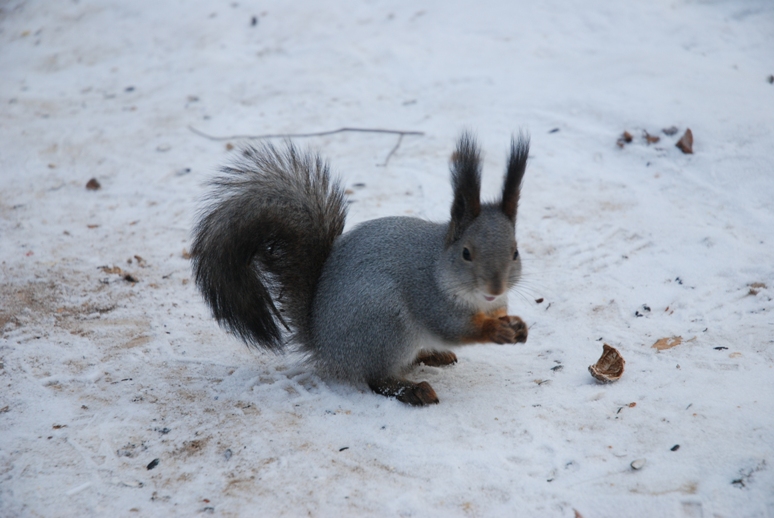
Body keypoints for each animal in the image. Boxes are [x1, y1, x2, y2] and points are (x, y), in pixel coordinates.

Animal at [192, 133, 532, 406]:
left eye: (515, 252)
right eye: (466, 253)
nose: (495, 289)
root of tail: (324, 346)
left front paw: (517, 325)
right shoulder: (429, 298)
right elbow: (454, 328)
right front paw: (494, 330)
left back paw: (431, 355)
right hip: (385, 324)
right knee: (377, 378)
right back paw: (412, 390)